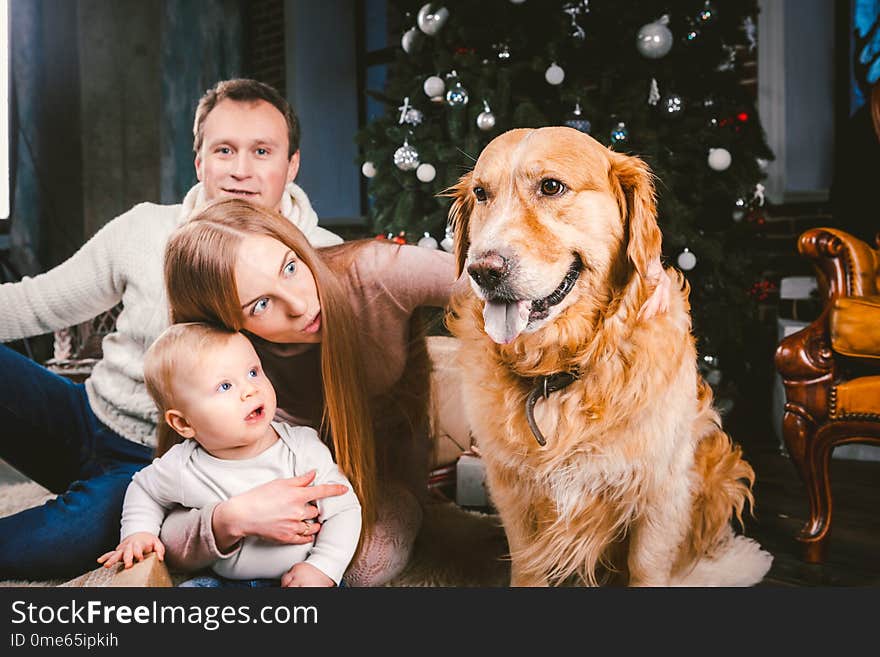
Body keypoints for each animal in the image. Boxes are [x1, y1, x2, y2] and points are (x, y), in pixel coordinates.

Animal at [446, 127, 768, 584]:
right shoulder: (513, 490)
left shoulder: (659, 489)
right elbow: (527, 567)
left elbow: (646, 569)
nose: (483, 270)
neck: (561, 370)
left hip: (719, 466)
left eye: (551, 187)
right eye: (480, 193)